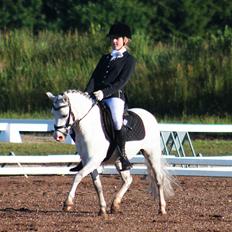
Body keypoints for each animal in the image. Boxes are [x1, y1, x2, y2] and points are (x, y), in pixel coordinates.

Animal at [46, 89, 174, 217]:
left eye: (64, 115)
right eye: (52, 113)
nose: (58, 137)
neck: (89, 126)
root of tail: (149, 114)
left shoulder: (94, 160)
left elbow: (78, 176)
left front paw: (68, 203)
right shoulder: (89, 161)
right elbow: (97, 185)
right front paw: (102, 209)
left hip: (152, 154)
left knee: (158, 179)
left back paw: (162, 208)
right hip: (119, 161)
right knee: (128, 180)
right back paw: (115, 205)